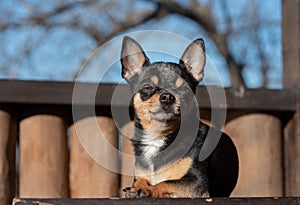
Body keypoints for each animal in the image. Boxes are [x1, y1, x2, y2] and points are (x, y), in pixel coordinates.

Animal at [120, 36, 238, 197]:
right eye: (147, 87)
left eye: (183, 87)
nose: (167, 97)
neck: (158, 136)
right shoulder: (139, 175)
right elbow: (140, 180)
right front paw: (138, 187)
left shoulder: (196, 181)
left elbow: (165, 183)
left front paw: (148, 189)